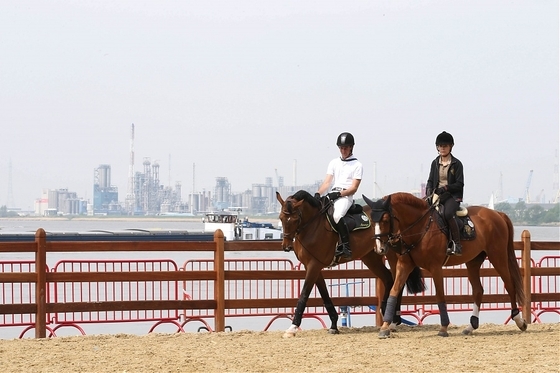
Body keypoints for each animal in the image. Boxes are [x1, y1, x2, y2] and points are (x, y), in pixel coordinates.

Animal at [276, 189, 424, 338]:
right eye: (281, 218)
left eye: (296, 219)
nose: (286, 246)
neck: (313, 226)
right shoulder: (312, 266)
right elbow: (324, 294)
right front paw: (334, 325)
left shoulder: (314, 265)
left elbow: (304, 294)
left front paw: (292, 328)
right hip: (371, 257)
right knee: (388, 278)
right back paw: (386, 312)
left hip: (392, 256)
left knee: (397, 281)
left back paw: (394, 320)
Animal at [366, 192, 528, 338]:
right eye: (372, 221)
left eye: (386, 219)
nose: (380, 248)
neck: (420, 227)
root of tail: (497, 214)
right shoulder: (404, 265)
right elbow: (394, 291)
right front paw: (385, 327)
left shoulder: (435, 267)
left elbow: (440, 295)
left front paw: (443, 328)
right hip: (473, 262)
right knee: (478, 290)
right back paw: (471, 326)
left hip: (497, 256)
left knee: (509, 284)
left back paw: (519, 321)